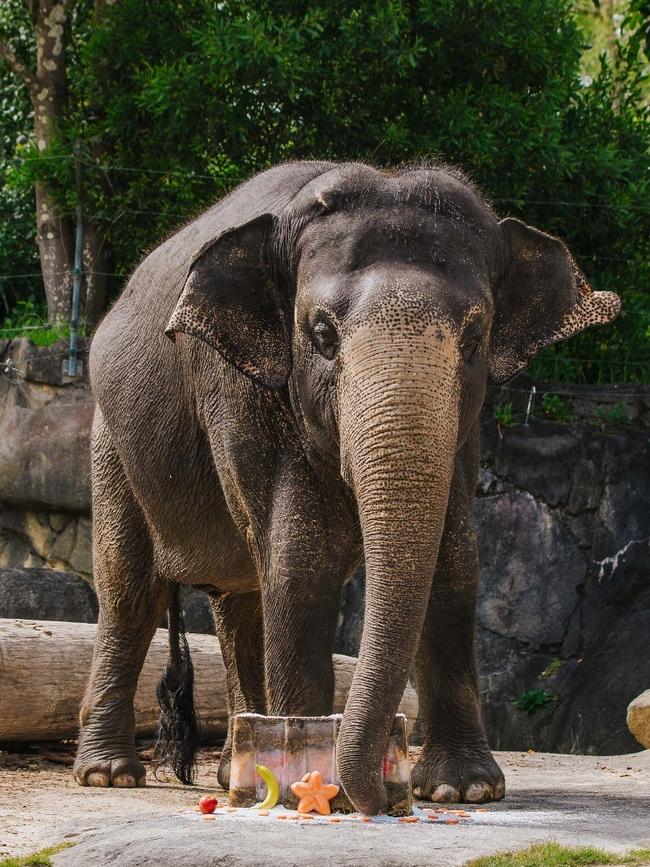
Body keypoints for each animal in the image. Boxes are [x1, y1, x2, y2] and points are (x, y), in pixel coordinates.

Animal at [72, 159, 616, 816]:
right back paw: (109, 776)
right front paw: (310, 776)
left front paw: (465, 789)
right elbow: (299, 565)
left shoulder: (467, 432)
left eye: (475, 336)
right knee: (132, 592)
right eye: (322, 334)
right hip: (111, 446)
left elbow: (454, 565)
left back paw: (231, 773)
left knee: (239, 601)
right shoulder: (239, 390)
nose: (384, 796)